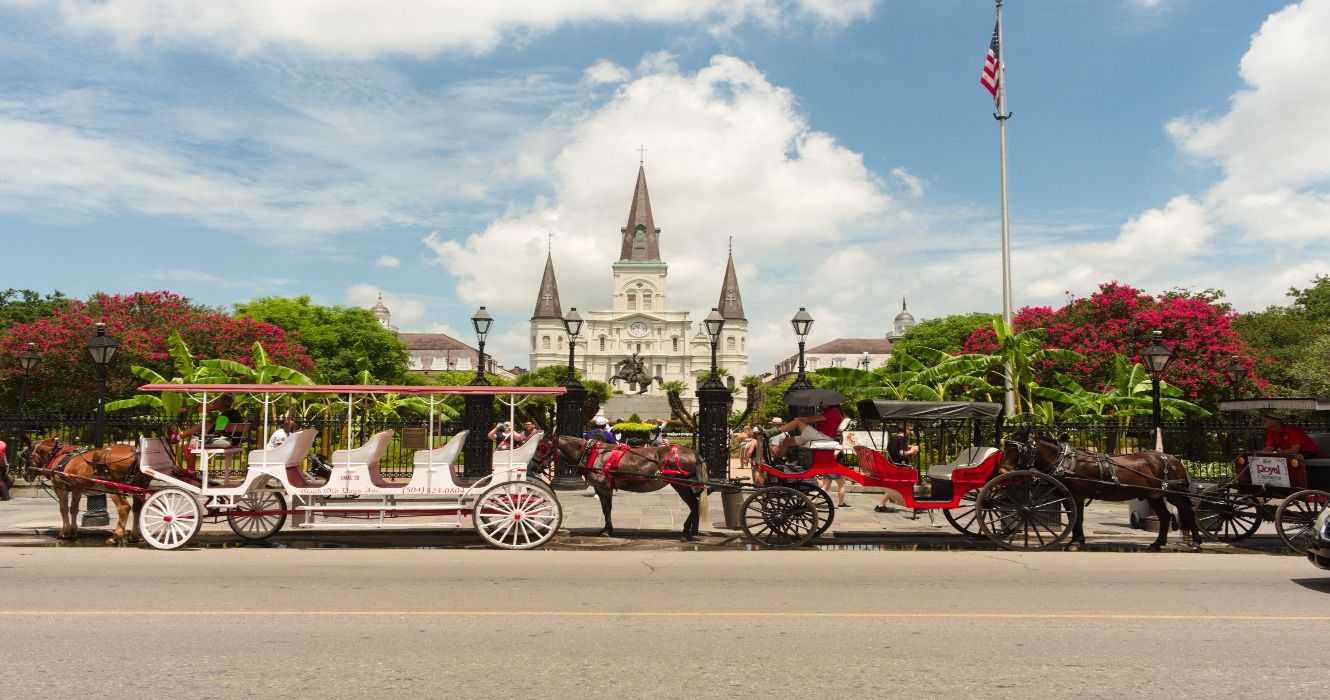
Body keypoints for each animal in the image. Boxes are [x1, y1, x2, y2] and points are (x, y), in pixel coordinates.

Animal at [532, 436, 707, 540]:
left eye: (541, 447)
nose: (533, 465)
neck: (590, 453)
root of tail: (694, 453)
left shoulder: (604, 488)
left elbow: (606, 509)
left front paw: (606, 530)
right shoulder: (603, 488)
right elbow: (606, 509)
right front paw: (607, 529)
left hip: (680, 485)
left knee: (693, 504)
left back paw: (689, 532)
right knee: (695, 504)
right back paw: (690, 530)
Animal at [1000, 433, 1207, 553]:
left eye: (1016, 450)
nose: (1002, 472)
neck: (1066, 461)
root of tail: (1172, 458)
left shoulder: (1077, 494)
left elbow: (1078, 518)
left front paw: (1075, 543)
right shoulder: (1068, 496)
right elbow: (1073, 518)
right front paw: (1077, 540)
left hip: (1172, 493)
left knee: (1187, 512)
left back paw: (1196, 542)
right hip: (1154, 496)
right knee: (1164, 517)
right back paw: (1157, 543)